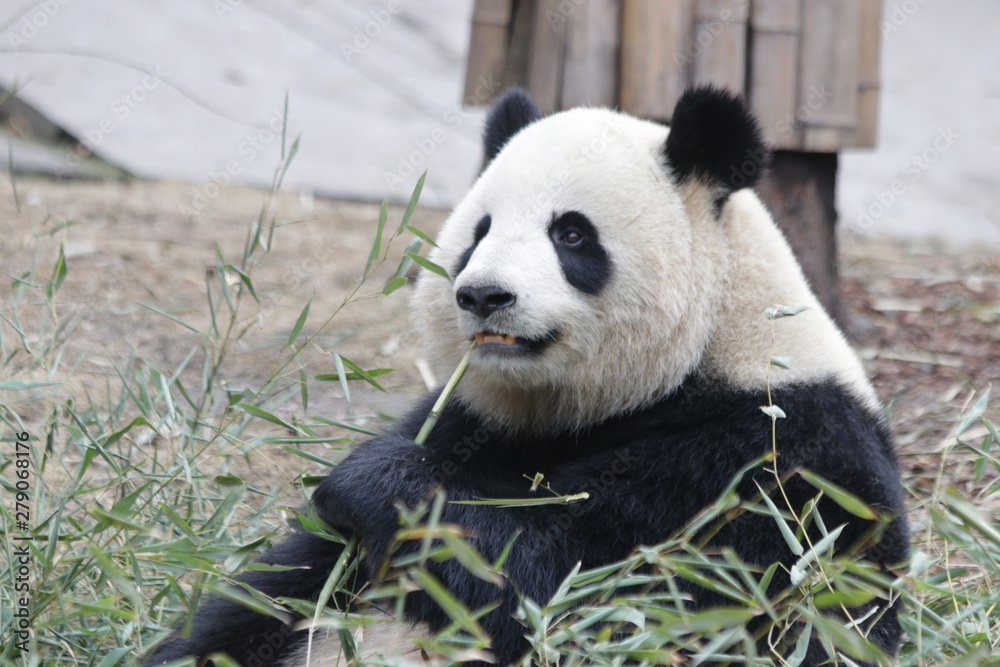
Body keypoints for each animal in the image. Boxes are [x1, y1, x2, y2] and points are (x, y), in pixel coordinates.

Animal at [145, 87, 908, 667]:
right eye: (478, 233)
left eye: (571, 234)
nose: (484, 295)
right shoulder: (468, 420)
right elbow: (275, 594)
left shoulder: (779, 459)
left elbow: (595, 592)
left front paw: (376, 484)